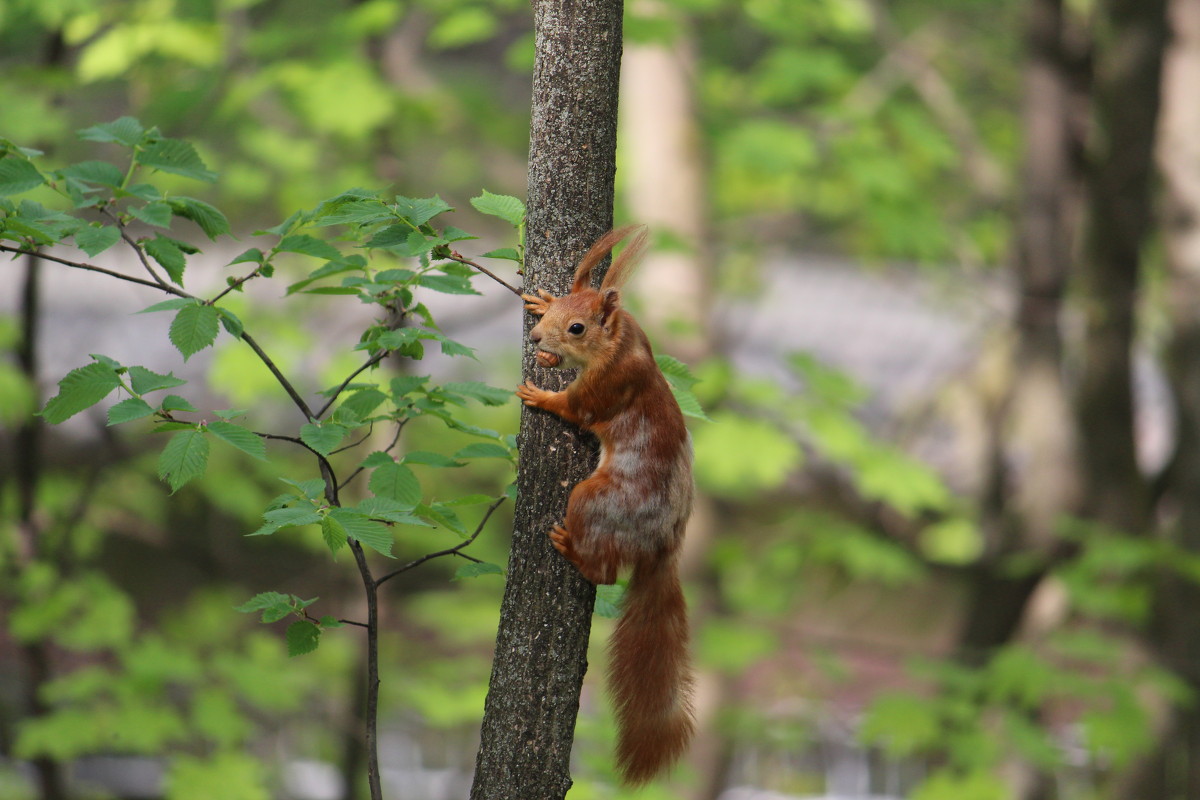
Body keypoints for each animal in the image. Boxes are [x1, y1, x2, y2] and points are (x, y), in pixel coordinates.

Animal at [513, 224, 696, 782]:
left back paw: (573, 549)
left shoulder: (605, 389)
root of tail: (663, 543)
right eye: (556, 311)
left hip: (596, 500)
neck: (619, 347)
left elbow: (575, 407)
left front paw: (541, 395)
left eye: (576, 328)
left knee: (606, 573)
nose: (537, 340)